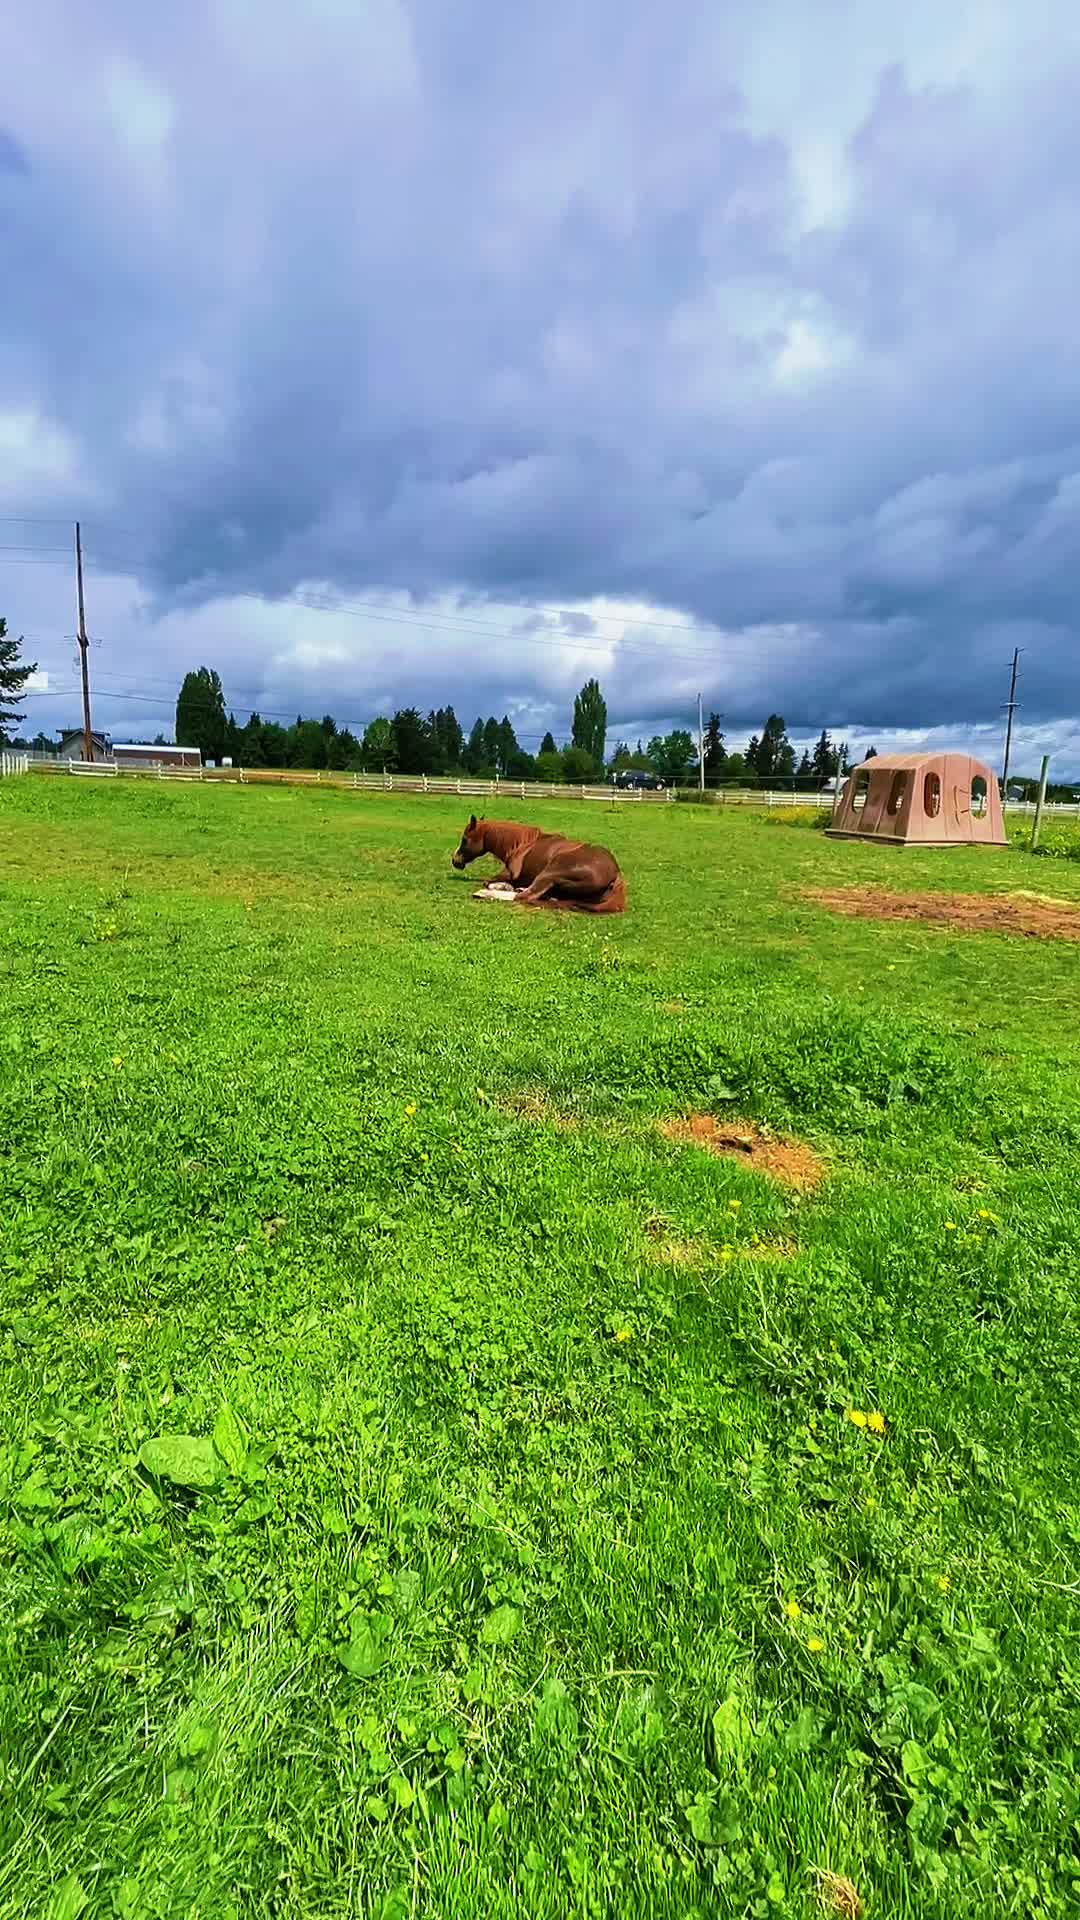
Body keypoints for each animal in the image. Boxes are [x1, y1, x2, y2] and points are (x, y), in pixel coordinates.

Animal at [451, 815, 627, 914]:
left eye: (465, 839)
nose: (455, 860)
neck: (521, 844)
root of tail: (616, 875)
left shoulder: (509, 873)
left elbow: (488, 881)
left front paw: (498, 887)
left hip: (550, 872)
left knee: (524, 897)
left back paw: (483, 894)